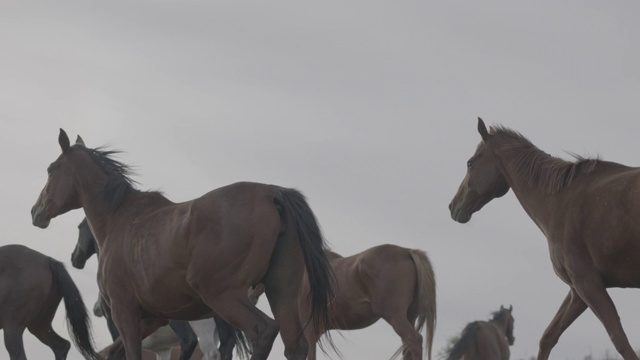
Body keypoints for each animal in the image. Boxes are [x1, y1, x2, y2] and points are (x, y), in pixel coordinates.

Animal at [31, 129, 336, 360]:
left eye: (51, 169)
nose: (36, 212)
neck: (120, 218)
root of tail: (272, 193)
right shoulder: (153, 318)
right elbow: (114, 352)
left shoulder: (123, 312)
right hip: (281, 293)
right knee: (295, 346)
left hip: (224, 296)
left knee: (263, 332)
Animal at [448, 118, 640, 360]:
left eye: (470, 163)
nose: (452, 206)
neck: (561, 200)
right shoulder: (578, 291)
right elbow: (548, 337)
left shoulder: (587, 283)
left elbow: (620, 340)